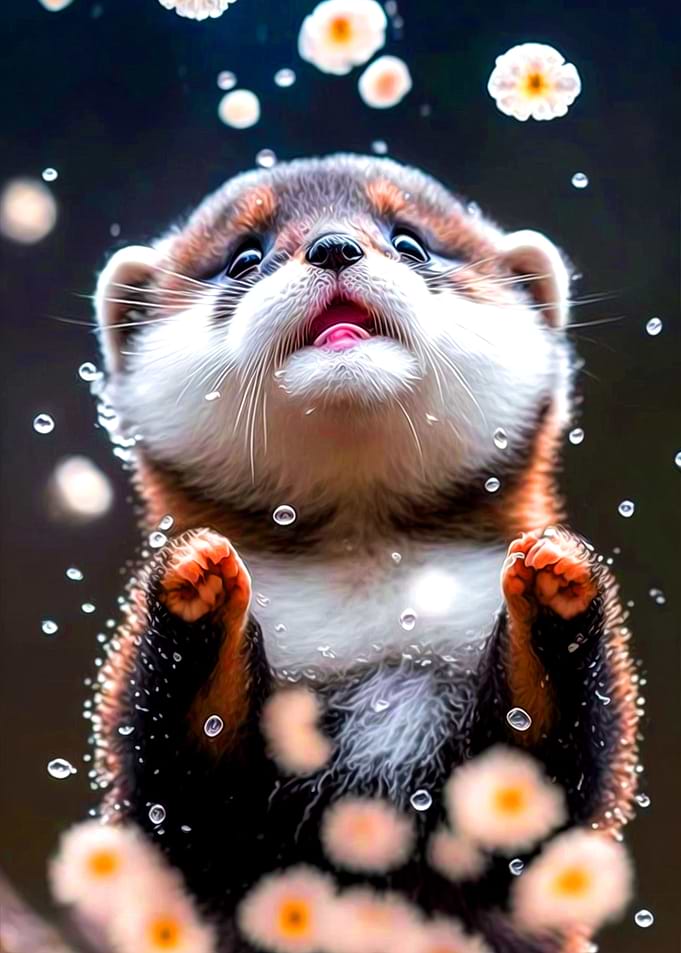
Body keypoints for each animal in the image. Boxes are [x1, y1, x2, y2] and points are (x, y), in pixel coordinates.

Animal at [91, 154, 638, 952]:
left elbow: (552, 755)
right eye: (243, 256)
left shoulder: (539, 807)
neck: (365, 613)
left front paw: (554, 581)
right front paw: (196, 583)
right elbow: (185, 762)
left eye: (410, 240)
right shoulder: (191, 808)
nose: (333, 245)